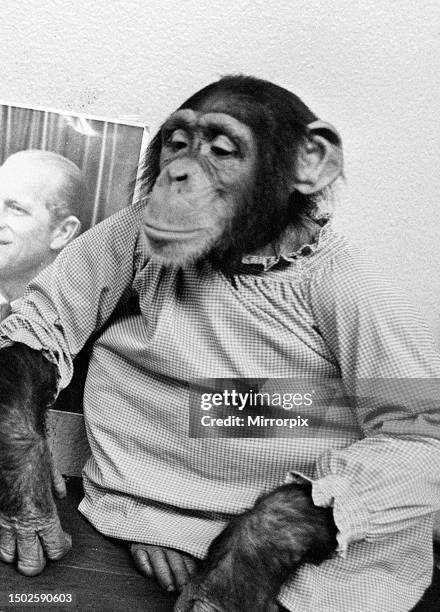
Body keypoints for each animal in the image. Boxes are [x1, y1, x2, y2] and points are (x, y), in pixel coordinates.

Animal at [0, 75, 440, 612]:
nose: (177, 175)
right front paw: (27, 492)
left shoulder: (360, 290)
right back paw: (157, 549)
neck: (250, 258)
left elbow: (410, 429)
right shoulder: (133, 222)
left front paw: (243, 564)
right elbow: (45, 327)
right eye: (177, 143)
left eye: (221, 149)